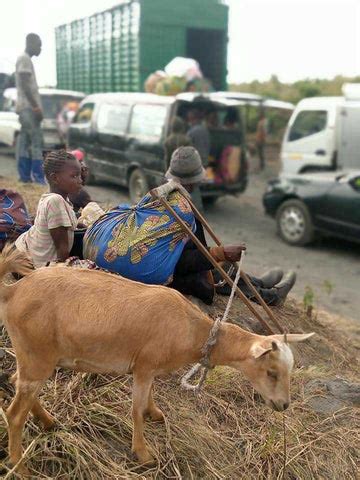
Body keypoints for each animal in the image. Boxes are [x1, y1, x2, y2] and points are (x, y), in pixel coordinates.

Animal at [0, 246, 314, 474]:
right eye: (272, 371)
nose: (283, 404)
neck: (193, 329)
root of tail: (13, 291)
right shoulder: (144, 366)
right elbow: (136, 410)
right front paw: (144, 454)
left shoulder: (147, 368)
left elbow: (148, 399)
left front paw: (156, 414)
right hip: (36, 354)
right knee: (14, 414)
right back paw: (21, 467)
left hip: (34, 356)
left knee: (17, 383)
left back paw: (49, 422)